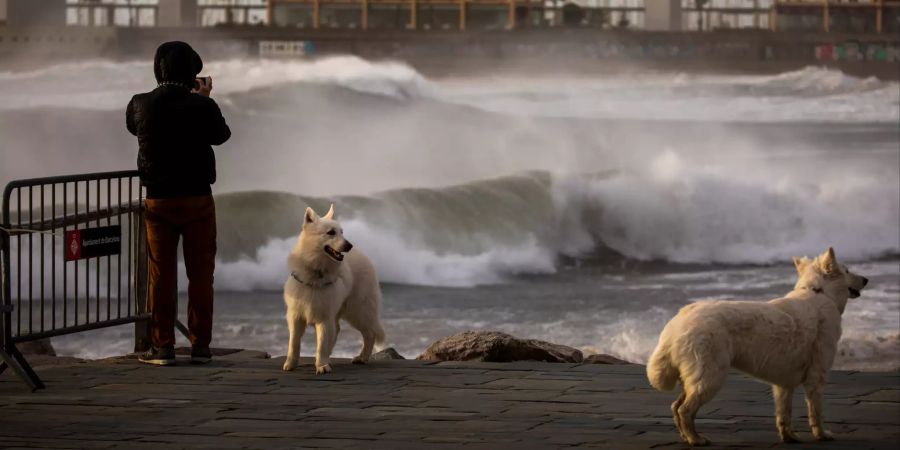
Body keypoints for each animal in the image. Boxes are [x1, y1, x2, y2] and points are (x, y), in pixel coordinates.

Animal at [284, 206, 384, 374]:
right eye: (331, 232)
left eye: (342, 232)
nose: (349, 246)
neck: (316, 272)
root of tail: (363, 255)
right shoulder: (296, 316)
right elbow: (293, 342)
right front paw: (291, 363)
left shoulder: (324, 317)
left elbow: (321, 343)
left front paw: (321, 365)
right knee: (338, 330)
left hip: (357, 311)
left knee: (369, 334)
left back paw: (362, 357)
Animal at [652, 248, 868, 444]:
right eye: (847, 270)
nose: (866, 279)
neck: (819, 293)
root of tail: (678, 321)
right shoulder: (817, 375)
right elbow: (816, 412)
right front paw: (821, 435)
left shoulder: (784, 383)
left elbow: (784, 413)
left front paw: (789, 437)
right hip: (710, 376)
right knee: (685, 409)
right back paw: (695, 439)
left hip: (697, 376)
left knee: (676, 406)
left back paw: (685, 436)